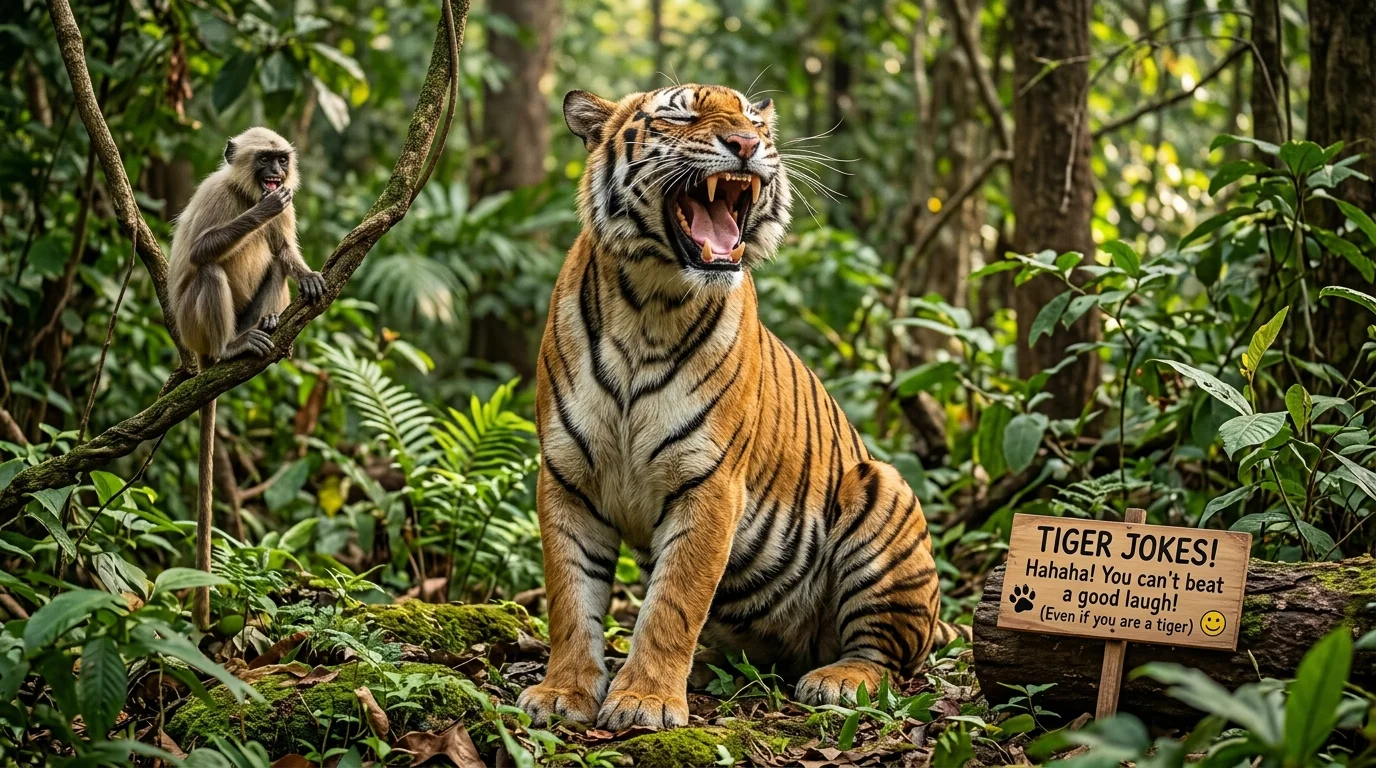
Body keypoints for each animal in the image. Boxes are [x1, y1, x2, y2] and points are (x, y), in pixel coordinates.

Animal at [517, 84, 969, 731]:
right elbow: (570, 598)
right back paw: (710, 669)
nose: (747, 144)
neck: (648, 305)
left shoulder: (709, 480)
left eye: (754, 118)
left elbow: (673, 603)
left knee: (889, 660)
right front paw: (564, 692)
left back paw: (837, 680)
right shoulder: (567, 478)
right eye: (680, 113)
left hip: (881, 488)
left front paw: (644, 701)